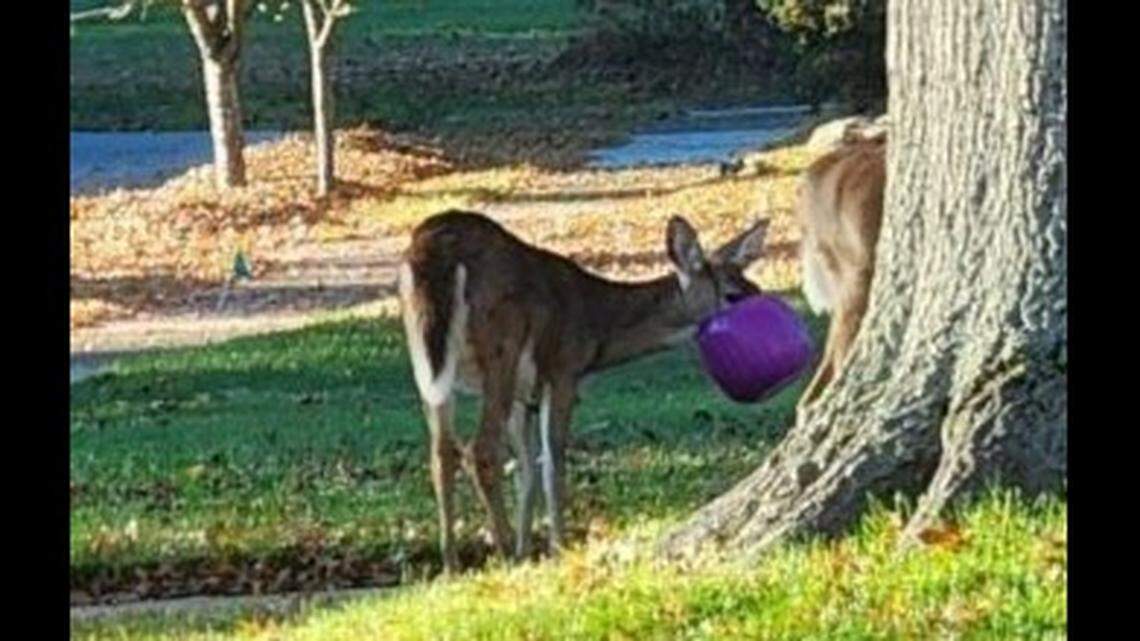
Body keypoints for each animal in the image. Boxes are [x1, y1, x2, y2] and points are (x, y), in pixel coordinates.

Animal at [397, 210, 770, 573]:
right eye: (732, 294)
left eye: (755, 285)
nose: (765, 311)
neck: (596, 324)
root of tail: (435, 251)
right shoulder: (563, 371)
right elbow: (553, 462)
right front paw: (555, 549)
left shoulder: (524, 396)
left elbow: (527, 471)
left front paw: (527, 548)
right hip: (501, 345)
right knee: (481, 450)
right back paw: (503, 556)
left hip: (427, 361)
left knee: (441, 454)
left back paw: (452, 564)